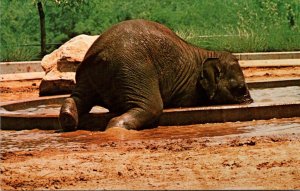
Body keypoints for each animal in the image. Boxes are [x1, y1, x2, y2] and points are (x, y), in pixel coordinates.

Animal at [58, 19, 251, 132]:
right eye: (240, 88)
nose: (249, 102)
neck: (206, 53)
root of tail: (101, 52)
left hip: (89, 74)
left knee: (78, 98)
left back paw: (68, 119)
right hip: (135, 69)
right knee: (152, 106)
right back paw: (116, 128)